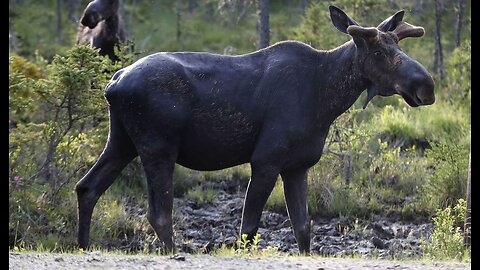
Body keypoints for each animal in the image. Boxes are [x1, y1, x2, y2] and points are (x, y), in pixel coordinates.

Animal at [76, 6, 436, 255]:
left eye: (399, 47)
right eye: (378, 52)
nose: (426, 86)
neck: (327, 97)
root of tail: (113, 84)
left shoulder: (297, 166)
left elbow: (303, 227)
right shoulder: (265, 161)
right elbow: (248, 229)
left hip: (122, 142)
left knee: (87, 188)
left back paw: (81, 247)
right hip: (157, 148)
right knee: (159, 214)